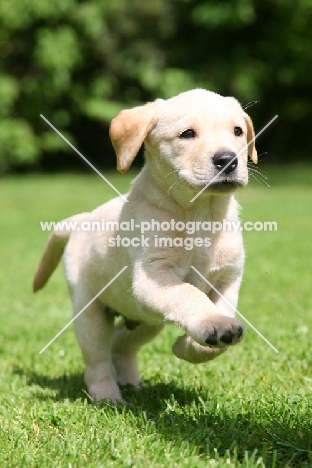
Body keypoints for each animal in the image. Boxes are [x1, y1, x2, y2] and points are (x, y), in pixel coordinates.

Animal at [33, 88, 258, 402]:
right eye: (188, 134)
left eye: (238, 131)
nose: (228, 159)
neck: (201, 213)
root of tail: (82, 219)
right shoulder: (154, 277)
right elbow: (189, 295)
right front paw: (211, 325)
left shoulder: (227, 279)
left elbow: (223, 312)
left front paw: (191, 345)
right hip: (90, 313)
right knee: (97, 359)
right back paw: (108, 396)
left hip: (146, 321)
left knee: (120, 345)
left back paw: (131, 382)